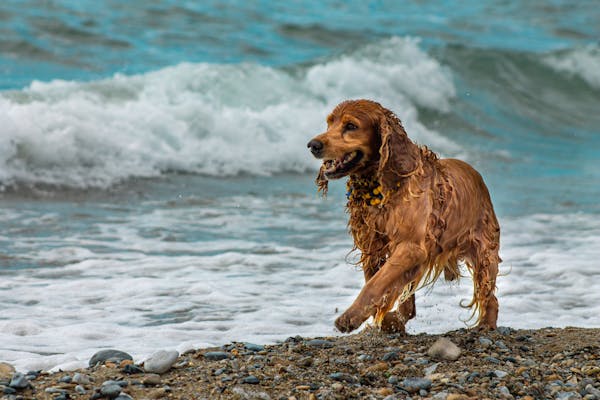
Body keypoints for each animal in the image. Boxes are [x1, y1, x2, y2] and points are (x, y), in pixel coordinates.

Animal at [308, 98, 500, 332]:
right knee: (409, 300)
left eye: (351, 126)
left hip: (484, 253)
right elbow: (378, 282)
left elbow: (376, 284)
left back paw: (486, 325)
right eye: (329, 123)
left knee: (490, 297)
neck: (383, 186)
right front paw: (380, 317)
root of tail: (478, 177)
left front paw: (350, 317)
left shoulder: (411, 247)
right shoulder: (373, 246)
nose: (313, 145)